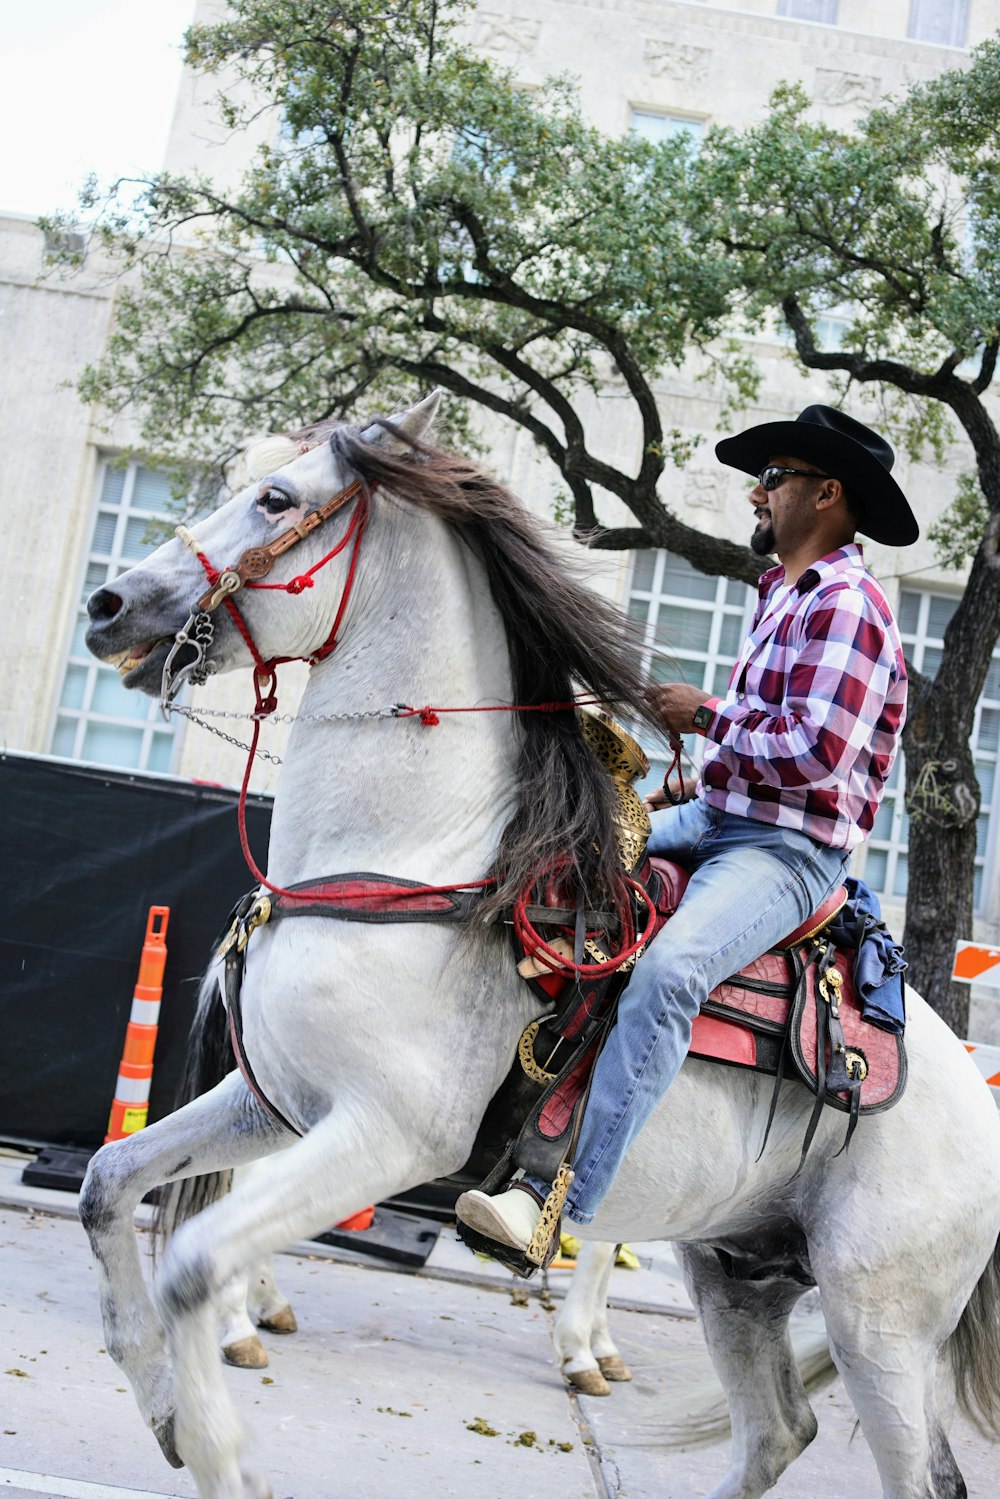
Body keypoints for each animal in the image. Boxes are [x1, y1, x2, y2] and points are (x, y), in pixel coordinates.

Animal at [83, 395, 1000, 1499]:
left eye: (275, 498)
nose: (110, 602)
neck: (420, 864)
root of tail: (984, 1105)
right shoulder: (274, 1107)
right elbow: (109, 1182)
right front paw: (161, 1402)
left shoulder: (388, 1136)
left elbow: (192, 1259)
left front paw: (224, 1456)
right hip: (739, 1273)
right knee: (780, 1430)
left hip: (879, 1326)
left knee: (913, 1475)